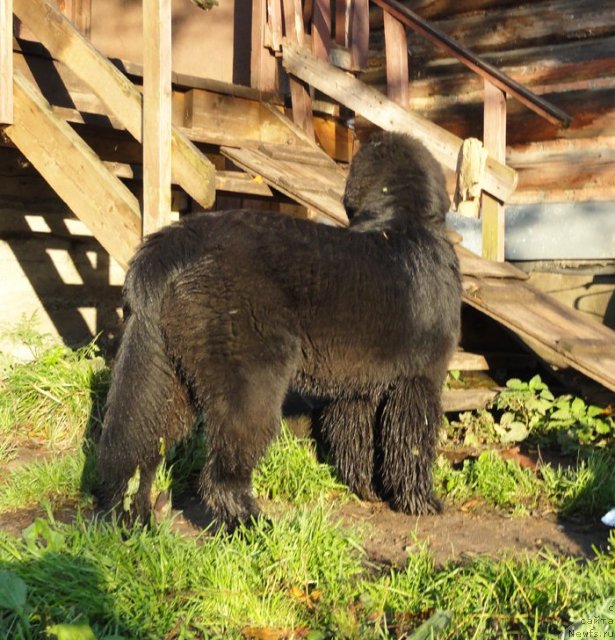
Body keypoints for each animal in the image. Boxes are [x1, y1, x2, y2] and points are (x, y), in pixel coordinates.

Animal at [96, 131, 462, 528]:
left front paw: (366, 490)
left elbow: (357, 440)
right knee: (222, 474)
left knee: (140, 451)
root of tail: (175, 242)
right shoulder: (420, 379)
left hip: (164, 378)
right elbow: (411, 444)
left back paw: (134, 520)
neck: (400, 221)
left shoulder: (359, 388)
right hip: (251, 385)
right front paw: (420, 501)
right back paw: (251, 524)